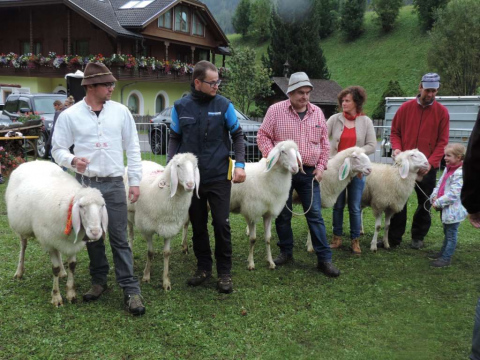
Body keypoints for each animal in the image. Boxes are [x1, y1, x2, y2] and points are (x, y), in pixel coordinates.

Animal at [5, 160, 107, 306]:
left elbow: (72, 266)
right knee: (23, 246)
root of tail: (33, 161)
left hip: (55, 236)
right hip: (24, 228)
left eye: (102, 206)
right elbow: (55, 268)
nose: (95, 232)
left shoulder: (71, 242)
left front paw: (71, 293)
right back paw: (19, 271)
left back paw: (63, 273)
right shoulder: (49, 241)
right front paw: (56, 297)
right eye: (81, 207)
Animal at [126, 153, 200, 292]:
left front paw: (166, 282)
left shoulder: (169, 227)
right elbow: (150, 252)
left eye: (195, 166)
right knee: (131, 236)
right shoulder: (147, 229)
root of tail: (144, 160)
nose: (190, 184)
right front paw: (146, 275)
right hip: (129, 216)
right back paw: (130, 255)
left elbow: (166, 253)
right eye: (178, 165)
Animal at [229, 141, 300, 270]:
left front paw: (270, 262)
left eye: (296, 151)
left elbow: (268, 239)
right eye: (283, 151)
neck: (267, 177)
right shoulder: (252, 211)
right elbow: (253, 239)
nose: (295, 168)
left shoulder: (268, 213)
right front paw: (251, 263)